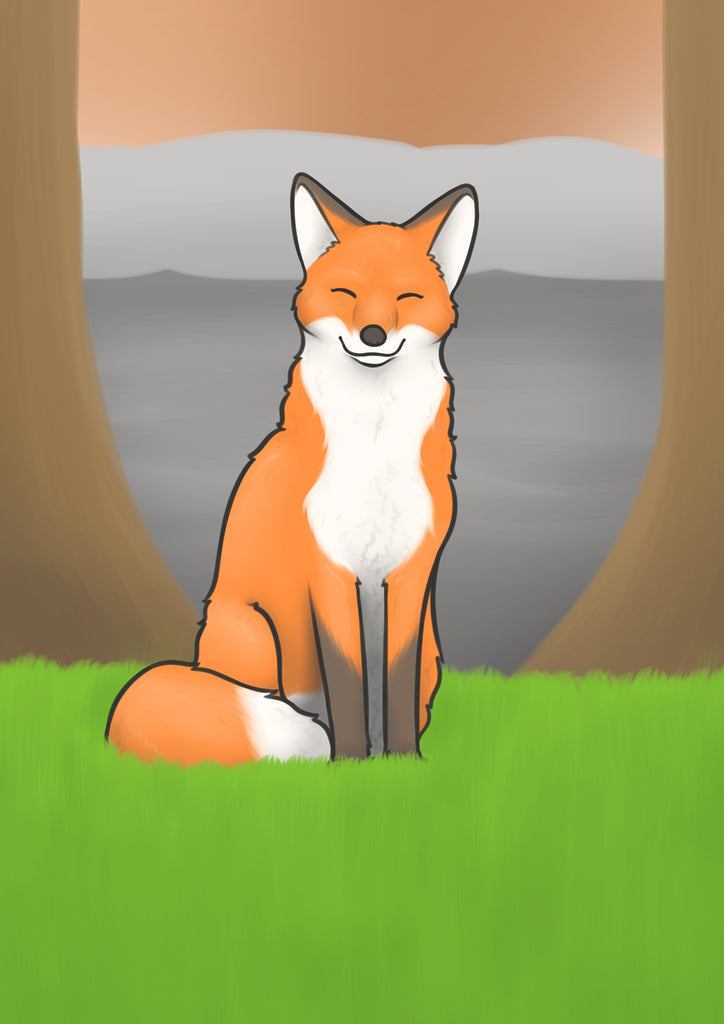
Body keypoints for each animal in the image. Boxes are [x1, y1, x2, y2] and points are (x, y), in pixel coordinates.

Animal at [105, 172, 478, 765]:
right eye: (346, 294)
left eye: (407, 297)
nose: (374, 335)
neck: (373, 447)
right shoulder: (326, 566)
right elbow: (347, 678)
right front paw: (351, 764)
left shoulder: (412, 570)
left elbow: (393, 680)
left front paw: (403, 763)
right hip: (257, 635)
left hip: (429, 653)